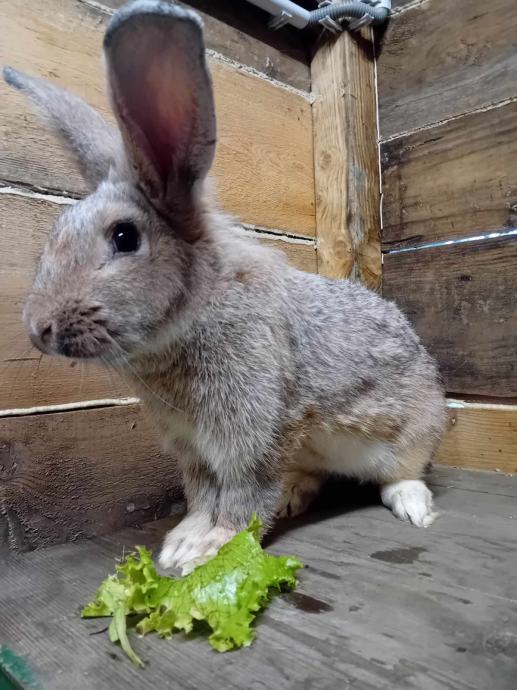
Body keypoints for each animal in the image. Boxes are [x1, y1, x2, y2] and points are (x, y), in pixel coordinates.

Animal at [4, 0, 447, 574]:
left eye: (124, 237)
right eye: (54, 232)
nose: (38, 329)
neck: (194, 312)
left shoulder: (250, 432)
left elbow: (240, 493)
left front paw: (211, 547)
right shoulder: (192, 447)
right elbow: (201, 493)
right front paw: (182, 541)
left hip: (412, 431)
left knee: (403, 470)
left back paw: (413, 506)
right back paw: (294, 495)